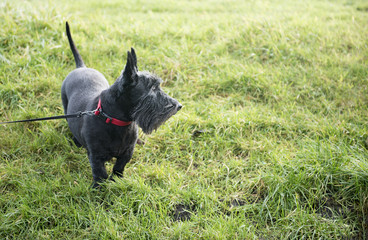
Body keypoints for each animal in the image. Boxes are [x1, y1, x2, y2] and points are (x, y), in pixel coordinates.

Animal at [61, 22, 182, 188]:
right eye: (152, 88)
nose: (178, 106)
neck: (115, 120)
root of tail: (81, 67)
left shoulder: (127, 153)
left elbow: (119, 167)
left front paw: (117, 181)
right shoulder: (96, 156)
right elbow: (100, 174)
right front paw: (98, 189)